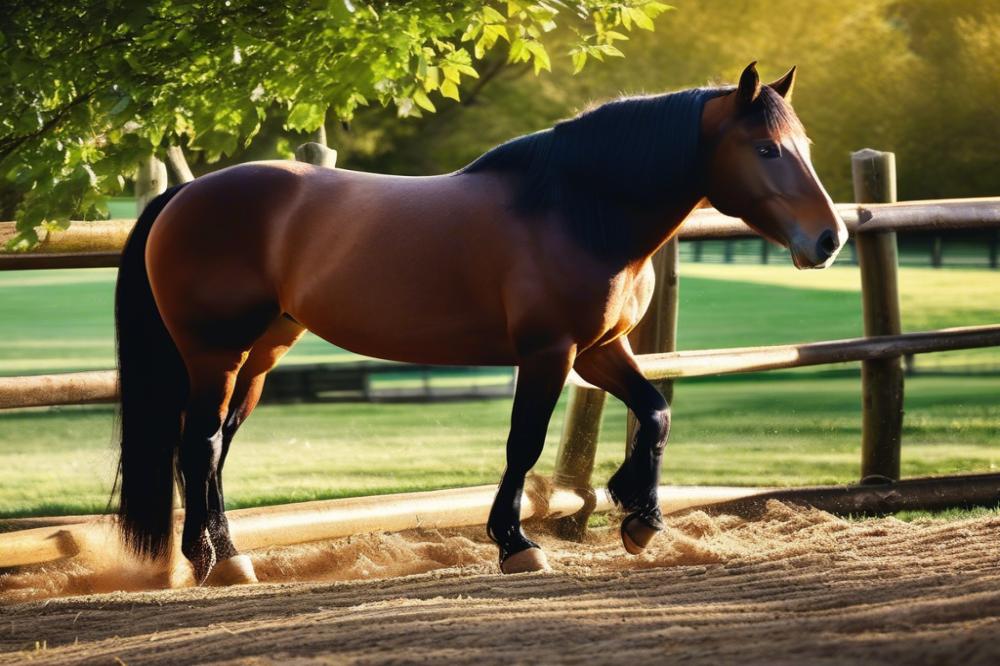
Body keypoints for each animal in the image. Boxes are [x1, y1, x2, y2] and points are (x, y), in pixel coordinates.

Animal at [117, 62, 848, 580]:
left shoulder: (599, 352)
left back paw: (230, 556)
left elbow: (656, 411)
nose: (829, 239)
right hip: (215, 355)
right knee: (199, 446)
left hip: (260, 356)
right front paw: (516, 542)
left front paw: (640, 517)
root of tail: (187, 191)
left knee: (216, 449)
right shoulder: (549, 353)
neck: (574, 208)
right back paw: (206, 562)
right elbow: (523, 444)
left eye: (803, 143)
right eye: (766, 149)